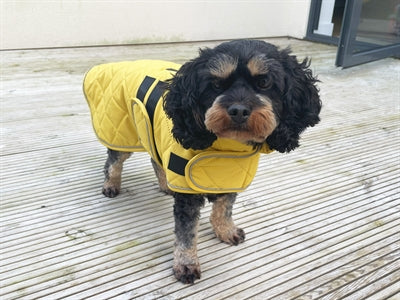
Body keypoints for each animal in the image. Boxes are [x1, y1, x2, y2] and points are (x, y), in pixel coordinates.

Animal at [83, 39, 322, 284]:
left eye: (264, 82)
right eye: (216, 84)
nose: (238, 110)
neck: (227, 148)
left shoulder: (229, 180)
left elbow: (223, 210)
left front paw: (226, 230)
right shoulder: (188, 196)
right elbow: (186, 234)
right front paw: (186, 264)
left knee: (154, 158)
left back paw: (165, 185)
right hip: (122, 132)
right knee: (113, 162)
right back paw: (111, 185)